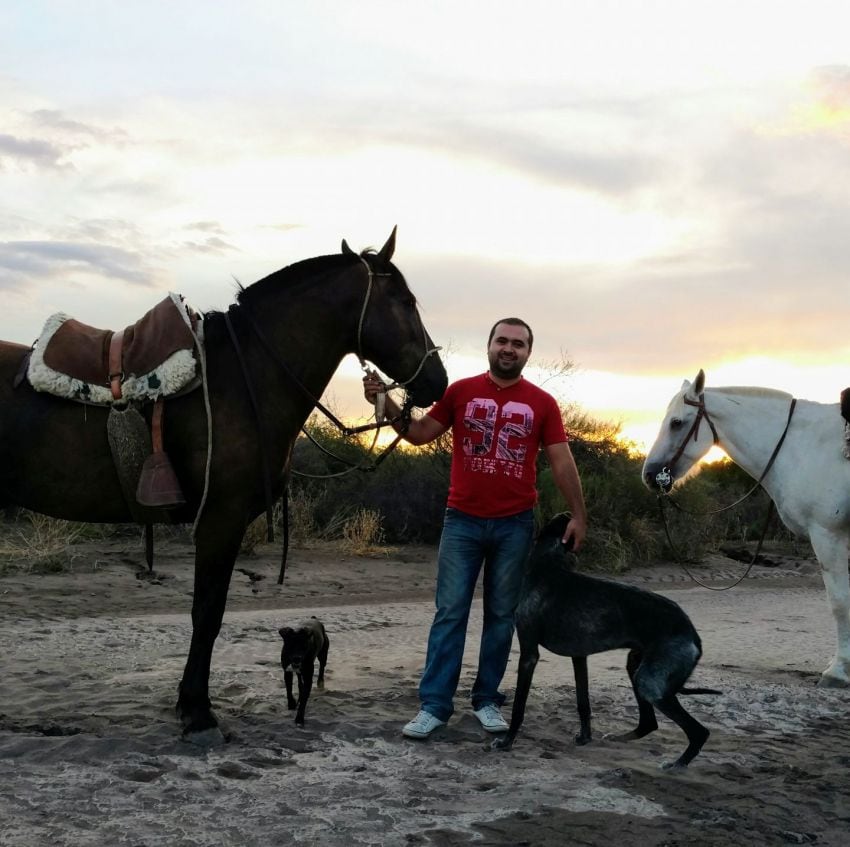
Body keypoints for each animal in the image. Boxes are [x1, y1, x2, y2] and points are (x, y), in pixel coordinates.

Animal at [0, 230, 448, 744]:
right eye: (405, 301)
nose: (438, 381)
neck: (244, 376)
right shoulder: (220, 521)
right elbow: (207, 615)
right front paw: (197, 711)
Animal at [494, 512, 720, 772]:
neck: (549, 565)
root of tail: (693, 634)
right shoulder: (579, 655)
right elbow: (583, 702)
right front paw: (585, 737)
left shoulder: (529, 653)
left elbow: (519, 707)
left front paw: (507, 742)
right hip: (637, 665)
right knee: (649, 722)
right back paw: (623, 738)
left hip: (651, 682)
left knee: (698, 731)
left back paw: (677, 764)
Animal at [644, 372, 848, 688]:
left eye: (676, 422)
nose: (650, 474)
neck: (802, 446)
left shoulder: (829, 535)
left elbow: (839, 602)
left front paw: (837, 672)